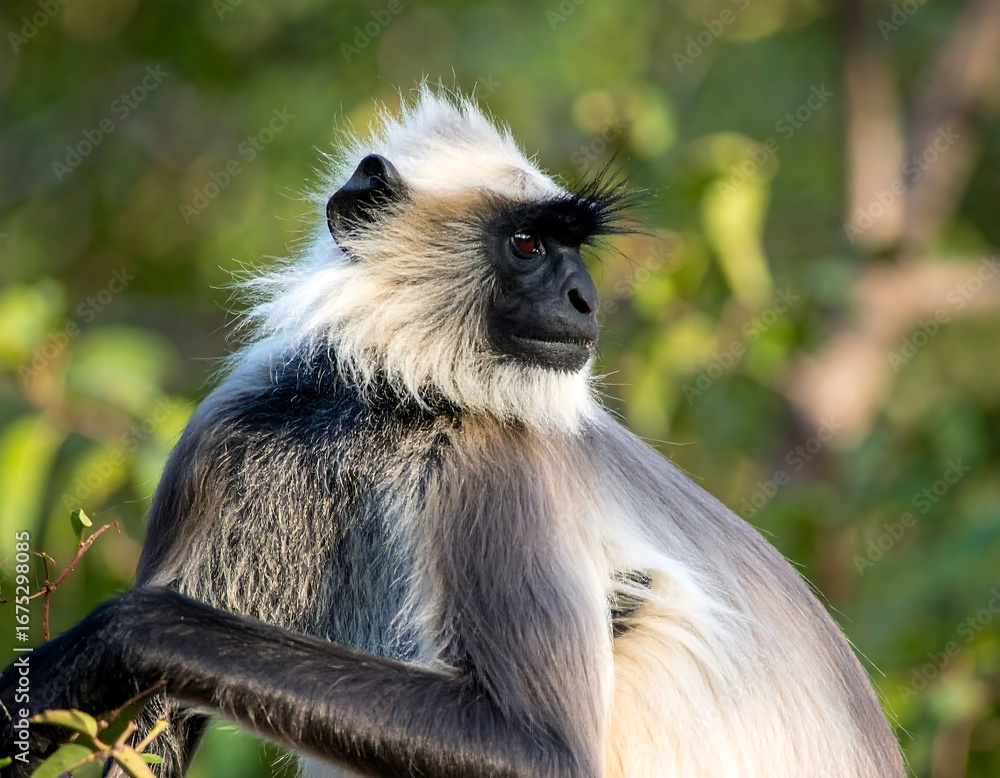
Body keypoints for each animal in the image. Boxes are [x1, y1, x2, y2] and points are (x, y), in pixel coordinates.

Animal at [0, 88, 905, 778]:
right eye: (528, 243)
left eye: (573, 250)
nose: (583, 299)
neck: (392, 405)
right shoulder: (228, 436)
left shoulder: (498, 461)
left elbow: (539, 750)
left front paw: (115, 634)